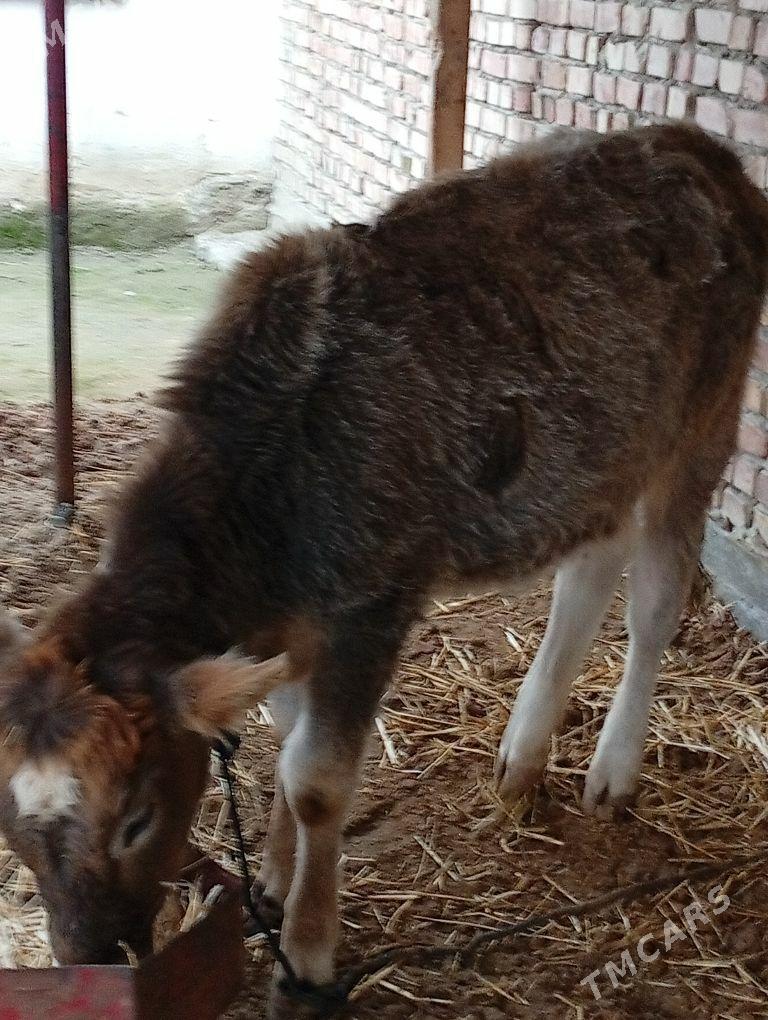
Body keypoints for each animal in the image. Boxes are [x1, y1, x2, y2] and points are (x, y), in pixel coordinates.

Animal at [0, 124, 766, 1018]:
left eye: (136, 818)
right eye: (11, 827)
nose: (91, 954)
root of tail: (693, 142)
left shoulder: (374, 600)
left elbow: (316, 778)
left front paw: (307, 955)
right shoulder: (285, 625)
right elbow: (285, 736)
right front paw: (273, 877)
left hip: (704, 416)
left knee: (656, 599)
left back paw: (613, 769)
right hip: (600, 453)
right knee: (591, 566)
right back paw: (524, 753)